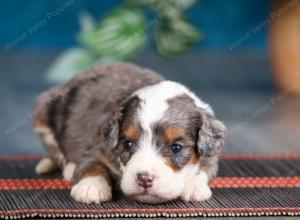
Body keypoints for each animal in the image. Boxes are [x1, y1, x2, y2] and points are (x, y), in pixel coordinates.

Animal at [32, 62, 226, 204]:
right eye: (128, 144)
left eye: (176, 147)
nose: (144, 179)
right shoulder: (99, 147)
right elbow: (91, 164)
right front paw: (90, 187)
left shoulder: (212, 151)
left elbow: (205, 169)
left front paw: (195, 187)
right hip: (43, 113)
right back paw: (66, 167)